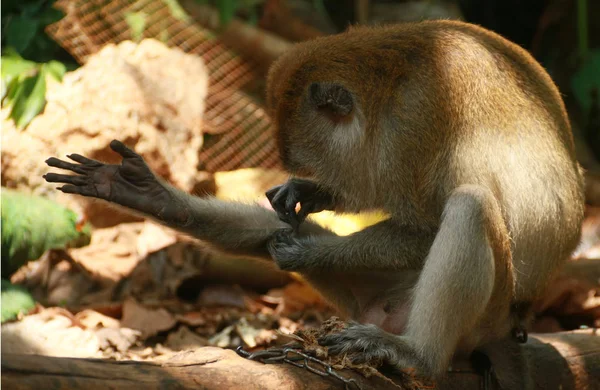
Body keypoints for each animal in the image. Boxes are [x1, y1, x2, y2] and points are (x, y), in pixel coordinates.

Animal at [43, 19, 584, 382]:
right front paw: (305, 197)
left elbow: (425, 228)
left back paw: (418, 355)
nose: (313, 179)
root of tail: (514, 324)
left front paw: (307, 249)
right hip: (374, 296)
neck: (385, 86)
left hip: (485, 316)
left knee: (470, 206)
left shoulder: (411, 129)